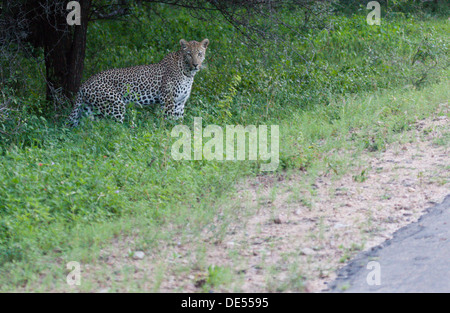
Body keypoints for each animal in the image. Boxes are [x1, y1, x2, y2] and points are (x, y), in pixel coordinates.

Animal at [67, 38, 211, 126]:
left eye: (200, 53)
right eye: (189, 54)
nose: (195, 65)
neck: (188, 73)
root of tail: (84, 84)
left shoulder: (180, 103)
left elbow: (178, 121)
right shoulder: (168, 100)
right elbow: (169, 120)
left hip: (89, 110)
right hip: (115, 105)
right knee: (113, 128)